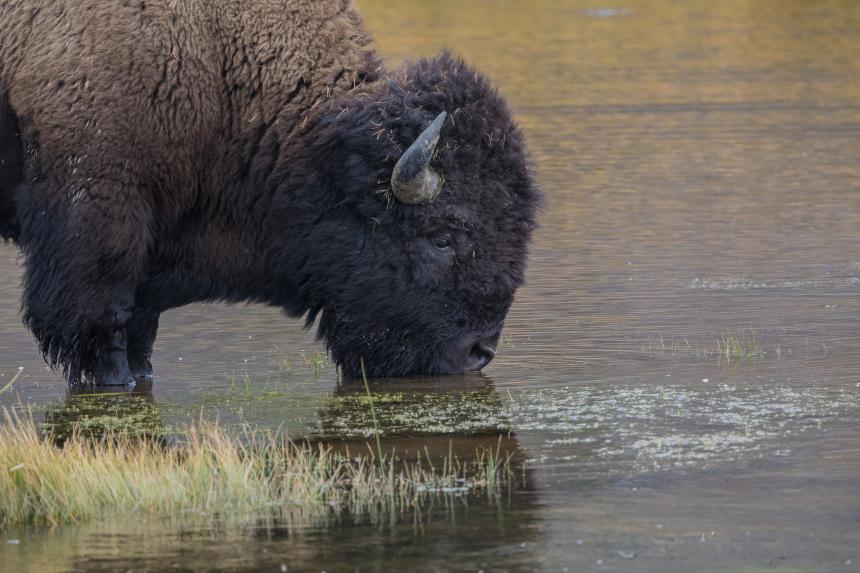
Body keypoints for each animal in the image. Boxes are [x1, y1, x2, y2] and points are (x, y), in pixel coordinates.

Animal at [0, 1, 536, 384]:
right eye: (442, 237)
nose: (478, 354)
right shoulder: (99, 216)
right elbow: (102, 326)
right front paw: (116, 382)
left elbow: (140, 336)